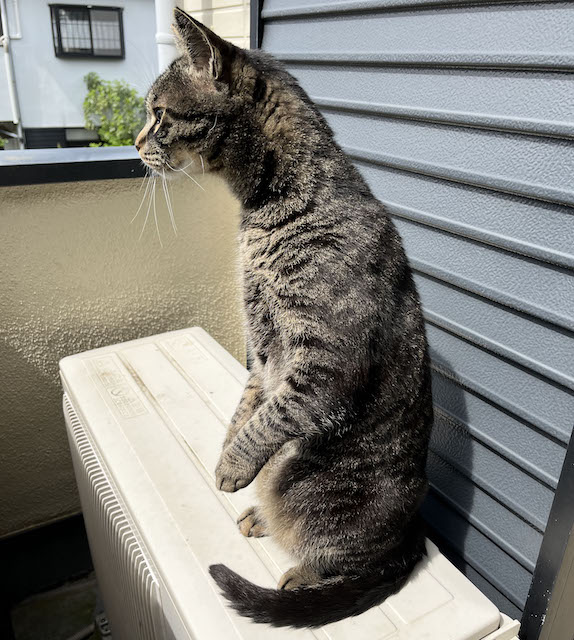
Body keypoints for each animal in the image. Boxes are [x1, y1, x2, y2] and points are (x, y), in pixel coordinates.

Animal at [135, 8, 433, 629]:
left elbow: (270, 418)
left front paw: (230, 467)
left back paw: (301, 572)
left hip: (321, 500)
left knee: (355, 557)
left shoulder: (322, 362)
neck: (260, 213)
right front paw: (227, 452)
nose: (133, 142)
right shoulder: (262, 350)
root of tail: (411, 531)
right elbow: (248, 409)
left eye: (158, 114)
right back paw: (260, 517)